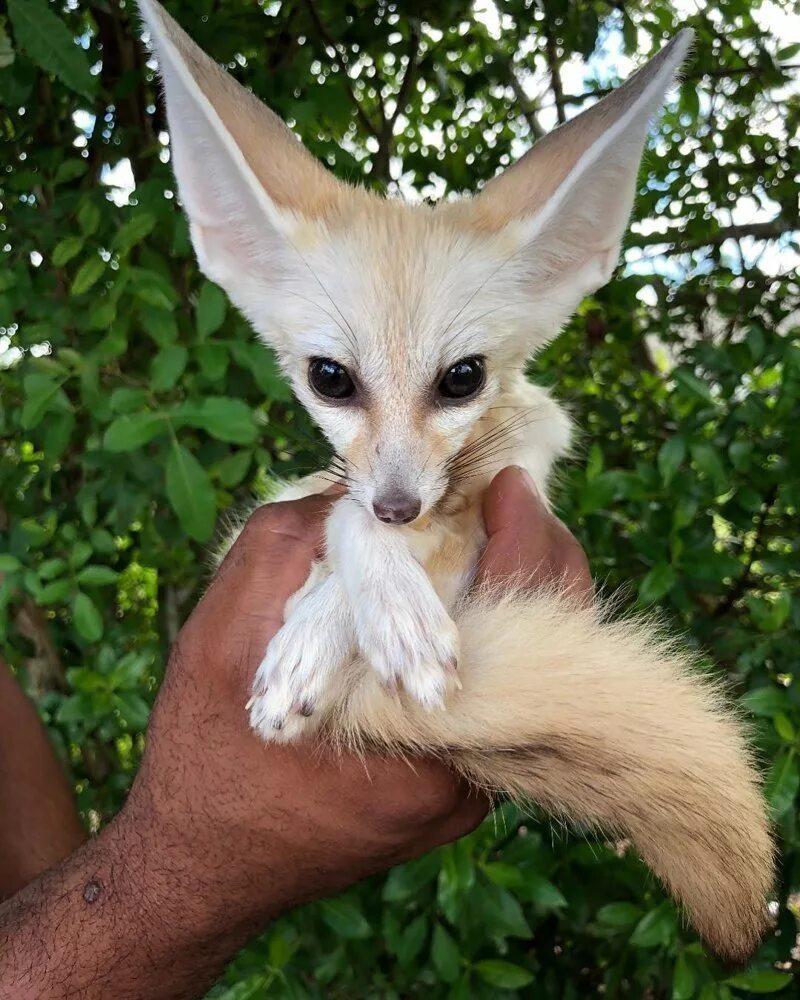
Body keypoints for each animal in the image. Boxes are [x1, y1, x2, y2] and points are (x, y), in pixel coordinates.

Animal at [139, 1, 776, 968]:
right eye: (330, 379)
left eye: (463, 378)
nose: (400, 504)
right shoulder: (322, 495)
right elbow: (338, 515)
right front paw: (359, 609)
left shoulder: (523, 454)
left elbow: (388, 532)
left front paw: (342, 627)